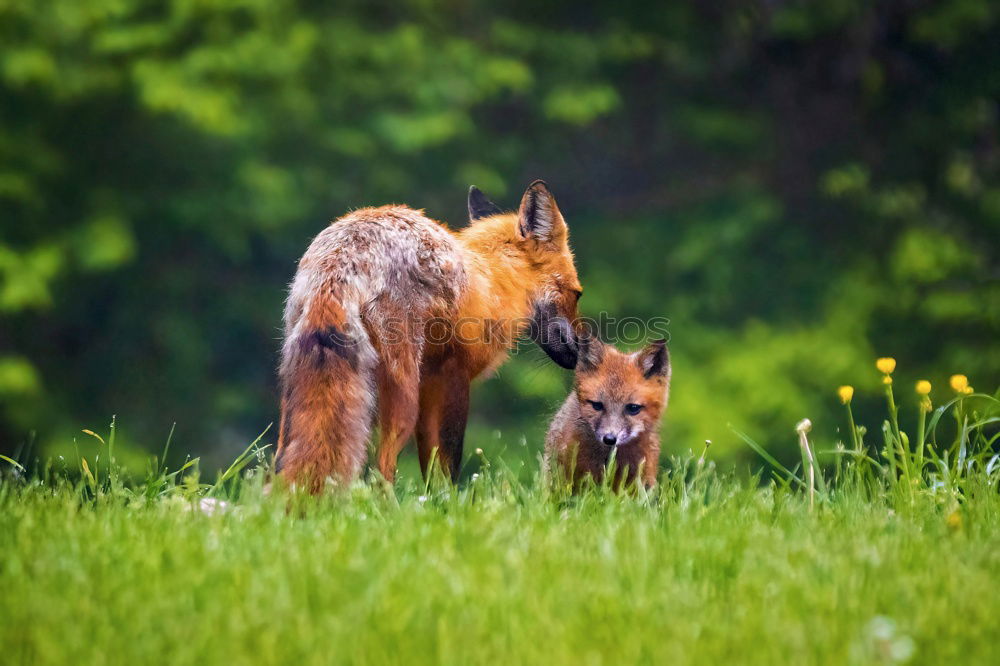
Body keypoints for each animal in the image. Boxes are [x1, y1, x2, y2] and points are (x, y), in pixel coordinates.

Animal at [278, 180, 584, 488]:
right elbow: (448, 464)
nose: (581, 349)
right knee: (382, 469)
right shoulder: (452, 374)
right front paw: (448, 500)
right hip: (403, 396)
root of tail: (345, 253)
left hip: (299, 385)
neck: (492, 280)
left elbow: (432, 466)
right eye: (577, 294)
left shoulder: (430, 382)